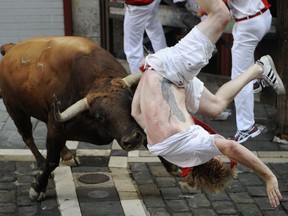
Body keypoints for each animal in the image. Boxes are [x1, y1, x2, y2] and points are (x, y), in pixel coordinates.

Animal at [0, 36, 150, 202]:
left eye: (129, 102)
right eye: (100, 116)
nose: (133, 139)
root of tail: (10, 48)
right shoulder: (56, 128)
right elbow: (51, 161)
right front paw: (38, 188)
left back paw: (67, 155)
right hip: (15, 110)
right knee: (27, 137)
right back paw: (41, 161)